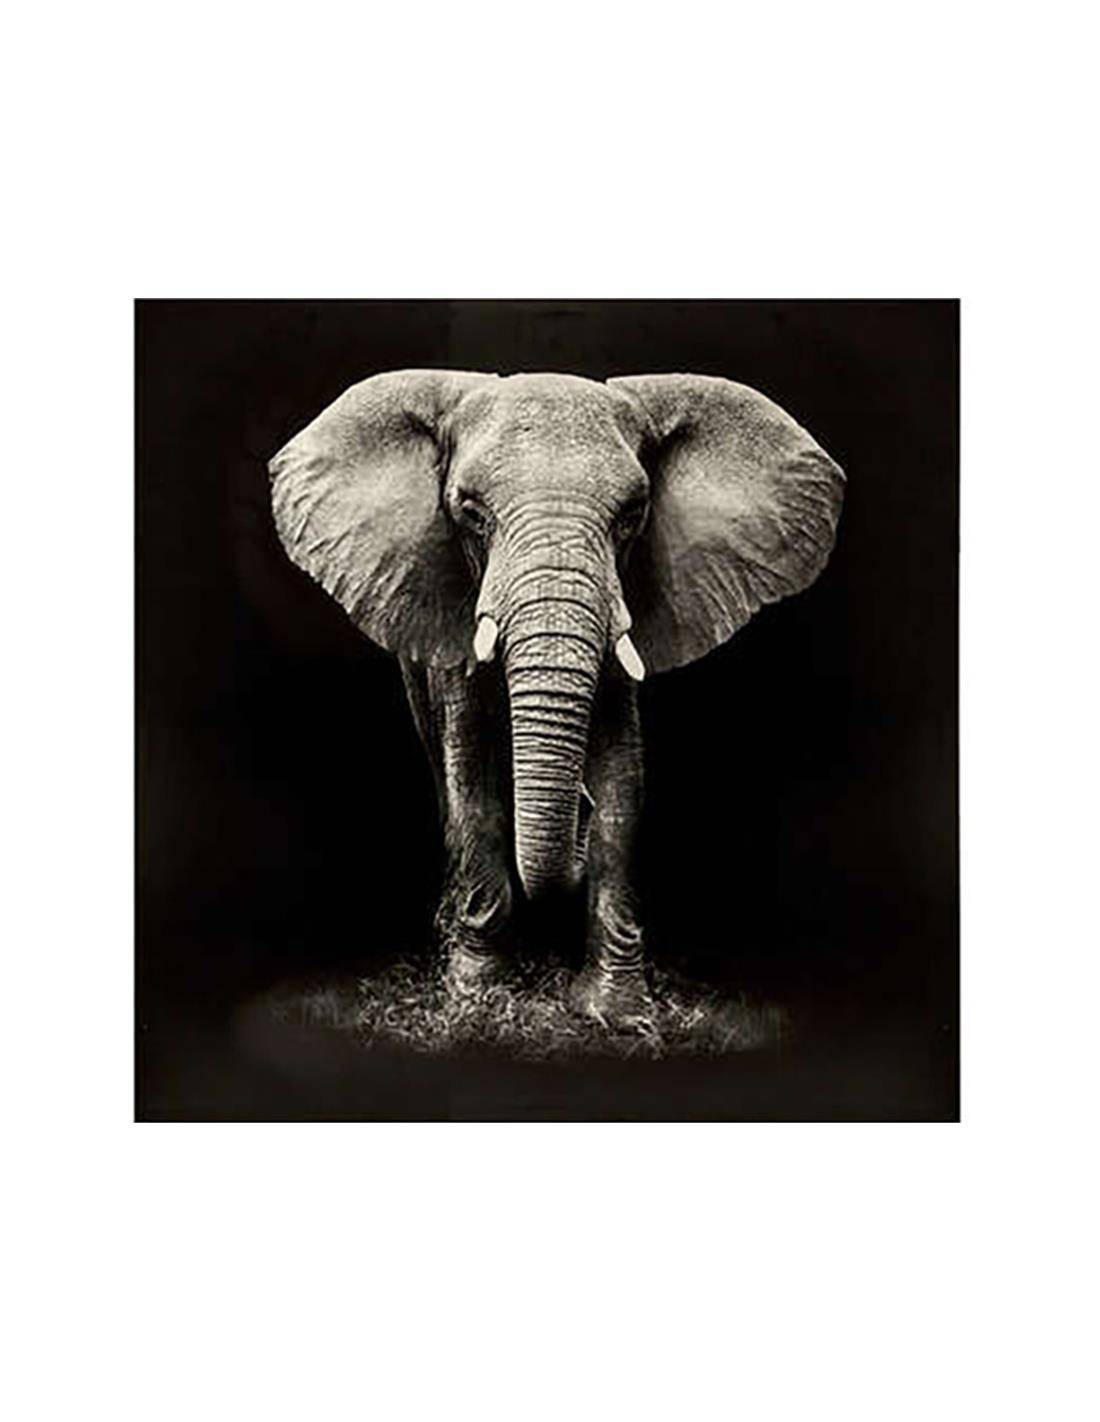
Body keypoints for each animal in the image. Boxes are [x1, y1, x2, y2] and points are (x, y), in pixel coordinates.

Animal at [268, 370, 844, 1027]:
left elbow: (623, 785)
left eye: (632, 515)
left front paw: (616, 1013)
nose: (578, 811)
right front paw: (480, 999)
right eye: (471, 513)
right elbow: (473, 782)